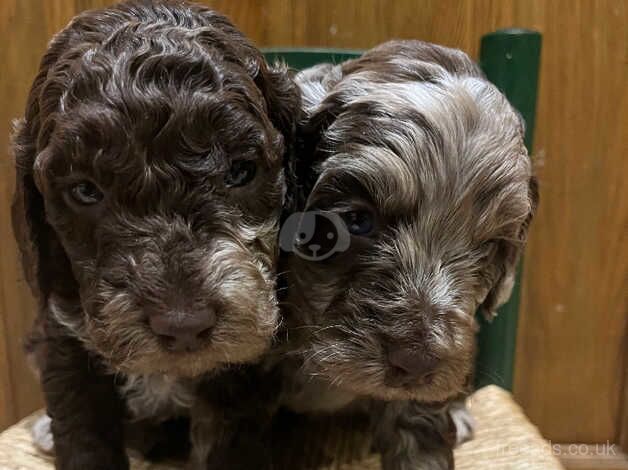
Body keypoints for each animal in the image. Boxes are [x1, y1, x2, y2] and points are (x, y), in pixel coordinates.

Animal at [12, 1, 300, 468]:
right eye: (85, 191)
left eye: (240, 171)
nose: (183, 325)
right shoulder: (63, 341)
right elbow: (82, 431)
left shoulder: (244, 372)